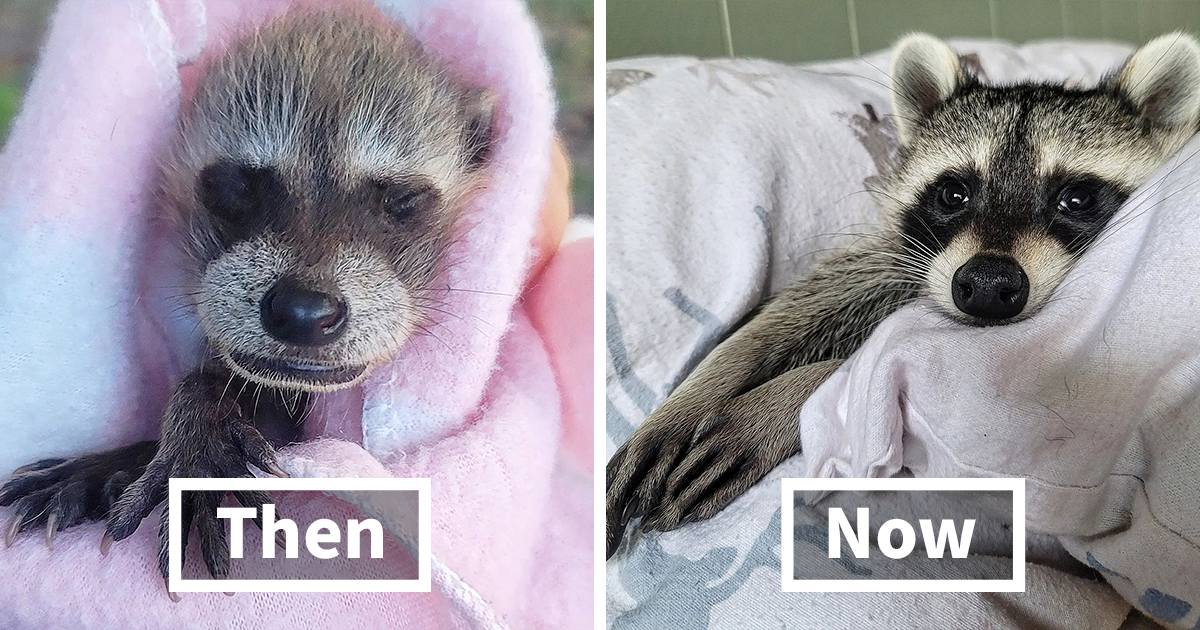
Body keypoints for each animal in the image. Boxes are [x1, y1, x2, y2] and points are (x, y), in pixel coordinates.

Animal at [606, 33, 1200, 558]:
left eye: (1075, 197)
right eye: (954, 193)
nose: (987, 287)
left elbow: (886, 369)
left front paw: (778, 399)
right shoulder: (916, 259)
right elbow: (825, 294)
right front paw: (702, 387)